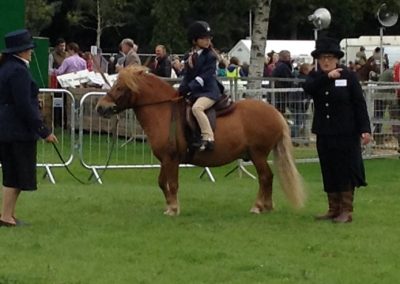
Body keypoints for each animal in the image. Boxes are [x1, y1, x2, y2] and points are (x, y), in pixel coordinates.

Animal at [96, 66, 304, 215]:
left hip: (258, 154)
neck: (163, 112)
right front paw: (170, 205)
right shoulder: (166, 159)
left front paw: (173, 208)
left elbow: (171, 183)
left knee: (265, 177)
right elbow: (162, 182)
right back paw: (266, 206)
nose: (101, 108)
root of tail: (275, 113)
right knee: (267, 178)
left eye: (120, 87)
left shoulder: (171, 158)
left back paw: (259, 206)